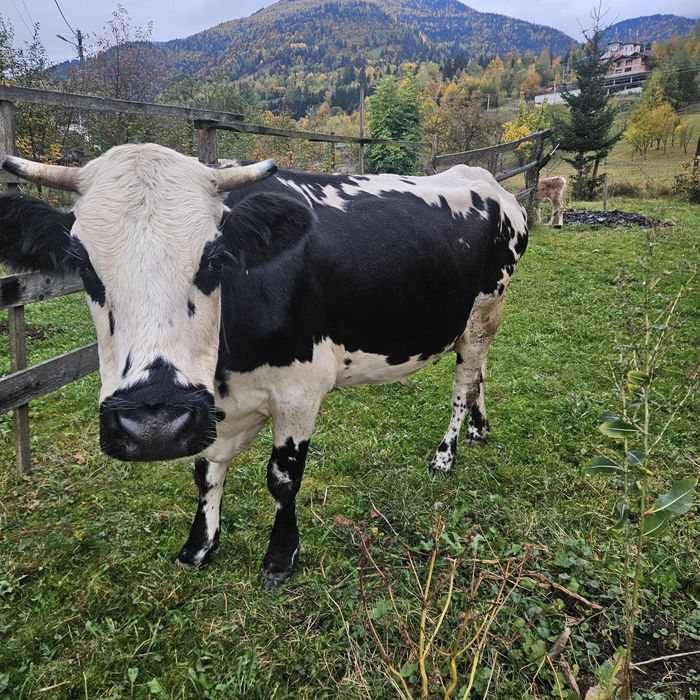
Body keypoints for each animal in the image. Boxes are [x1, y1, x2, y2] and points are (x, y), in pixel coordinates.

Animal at [0, 144, 528, 585]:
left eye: (214, 258)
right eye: (83, 265)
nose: (153, 424)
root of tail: (486, 180)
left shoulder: (299, 392)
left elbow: (283, 477)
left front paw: (280, 556)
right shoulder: (212, 407)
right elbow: (206, 471)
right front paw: (199, 546)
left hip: (485, 310)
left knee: (463, 384)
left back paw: (446, 453)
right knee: (479, 375)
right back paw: (480, 428)